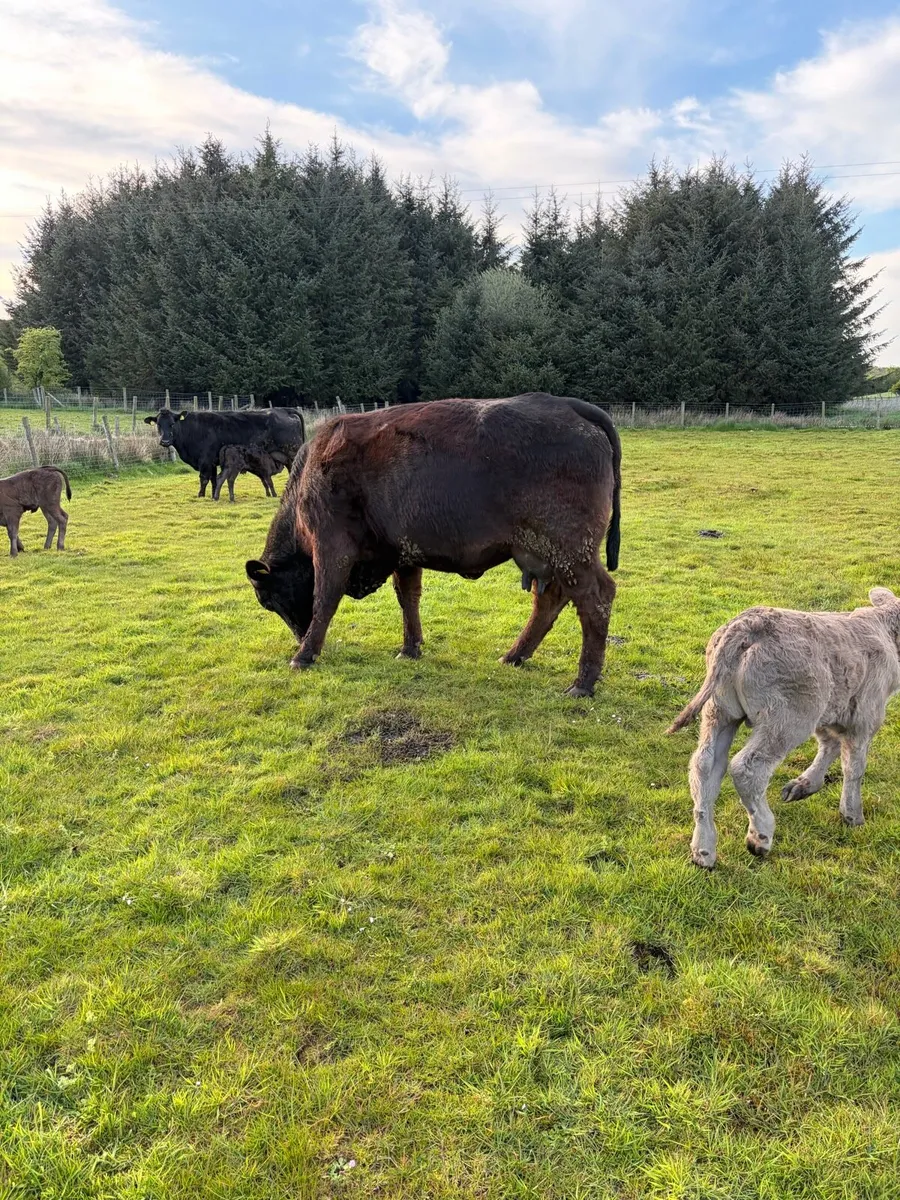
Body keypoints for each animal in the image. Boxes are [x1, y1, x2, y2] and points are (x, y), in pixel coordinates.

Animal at [144, 408, 305, 499]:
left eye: (172, 423)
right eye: (158, 424)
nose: (164, 441)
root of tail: (283, 410)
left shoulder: (205, 461)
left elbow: (204, 479)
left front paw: (201, 495)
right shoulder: (212, 463)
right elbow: (214, 480)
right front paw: (213, 495)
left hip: (292, 453)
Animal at [246, 393, 621, 698]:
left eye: (269, 600)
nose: (298, 636)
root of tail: (569, 406)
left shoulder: (332, 547)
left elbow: (325, 599)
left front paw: (303, 655)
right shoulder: (403, 553)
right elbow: (407, 598)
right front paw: (410, 648)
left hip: (570, 552)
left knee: (595, 599)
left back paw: (582, 684)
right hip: (544, 554)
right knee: (549, 601)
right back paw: (514, 656)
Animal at [668, 589, 900, 867]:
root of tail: (748, 623)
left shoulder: (832, 710)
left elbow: (829, 744)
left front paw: (805, 785)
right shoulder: (865, 715)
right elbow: (854, 767)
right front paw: (852, 814)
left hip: (720, 710)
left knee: (704, 764)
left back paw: (703, 850)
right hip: (787, 716)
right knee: (747, 767)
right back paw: (760, 836)